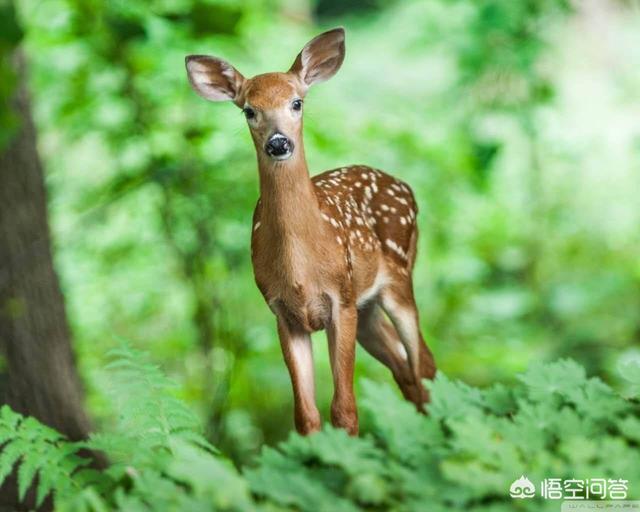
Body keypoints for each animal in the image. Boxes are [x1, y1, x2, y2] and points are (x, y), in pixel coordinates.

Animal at [185, 28, 436, 436]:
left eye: (297, 102)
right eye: (249, 110)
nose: (278, 142)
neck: (301, 268)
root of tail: (405, 187)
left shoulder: (341, 300)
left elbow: (345, 410)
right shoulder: (283, 313)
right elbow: (306, 415)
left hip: (398, 277)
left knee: (424, 363)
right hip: (367, 308)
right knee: (405, 370)